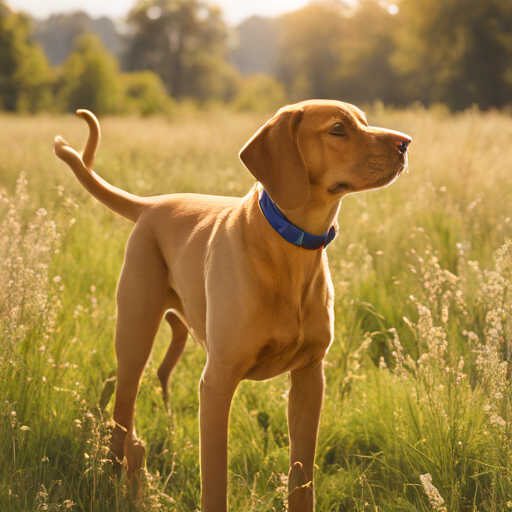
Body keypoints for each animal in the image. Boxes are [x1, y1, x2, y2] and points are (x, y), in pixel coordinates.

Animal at [53, 98, 412, 510]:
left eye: (364, 122)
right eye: (338, 129)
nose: (405, 143)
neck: (290, 246)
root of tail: (151, 204)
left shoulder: (309, 377)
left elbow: (301, 478)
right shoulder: (218, 380)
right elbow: (215, 482)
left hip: (175, 326)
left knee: (158, 376)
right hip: (135, 333)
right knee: (122, 413)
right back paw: (115, 481)